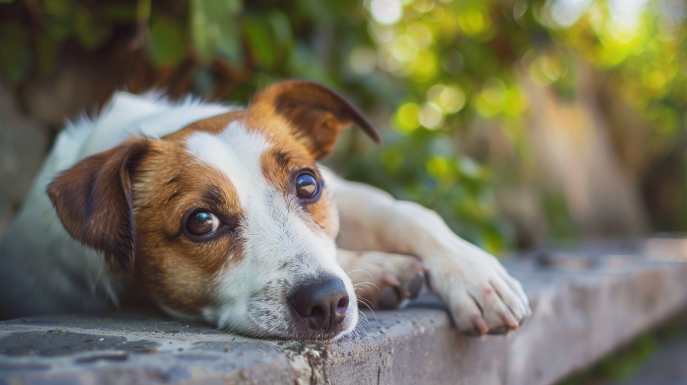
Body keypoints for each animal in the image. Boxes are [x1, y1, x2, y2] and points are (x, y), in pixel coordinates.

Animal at [0, 80, 532, 340]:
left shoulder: (340, 189)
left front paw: (475, 276)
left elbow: (408, 214)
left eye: (307, 184)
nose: (326, 301)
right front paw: (376, 268)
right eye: (200, 222)